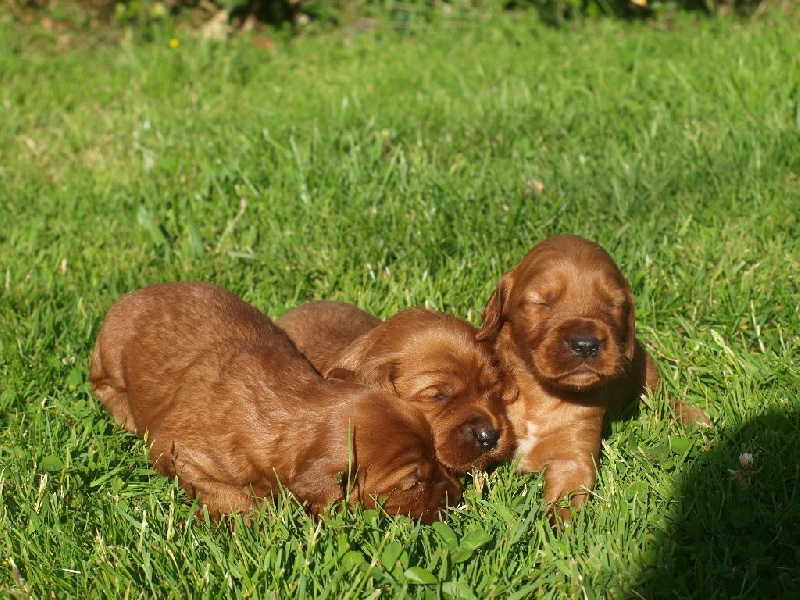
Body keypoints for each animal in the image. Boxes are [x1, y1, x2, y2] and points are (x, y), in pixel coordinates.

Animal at [88, 282, 460, 520]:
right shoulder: (176, 450)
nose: (456, 495)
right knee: (101, 385)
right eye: (413, 484)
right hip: (111, 352)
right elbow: (223, 491)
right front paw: (243, 515)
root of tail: (137, 293)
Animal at [476, 232, 708, 524]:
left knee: (663, 398)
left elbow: (565, 501)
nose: (585, 344)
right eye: (542, 302)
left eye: (613, 303)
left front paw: (558, 529)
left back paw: (692, 416)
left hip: (646, 372)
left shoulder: (574, 458)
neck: (539, 394)